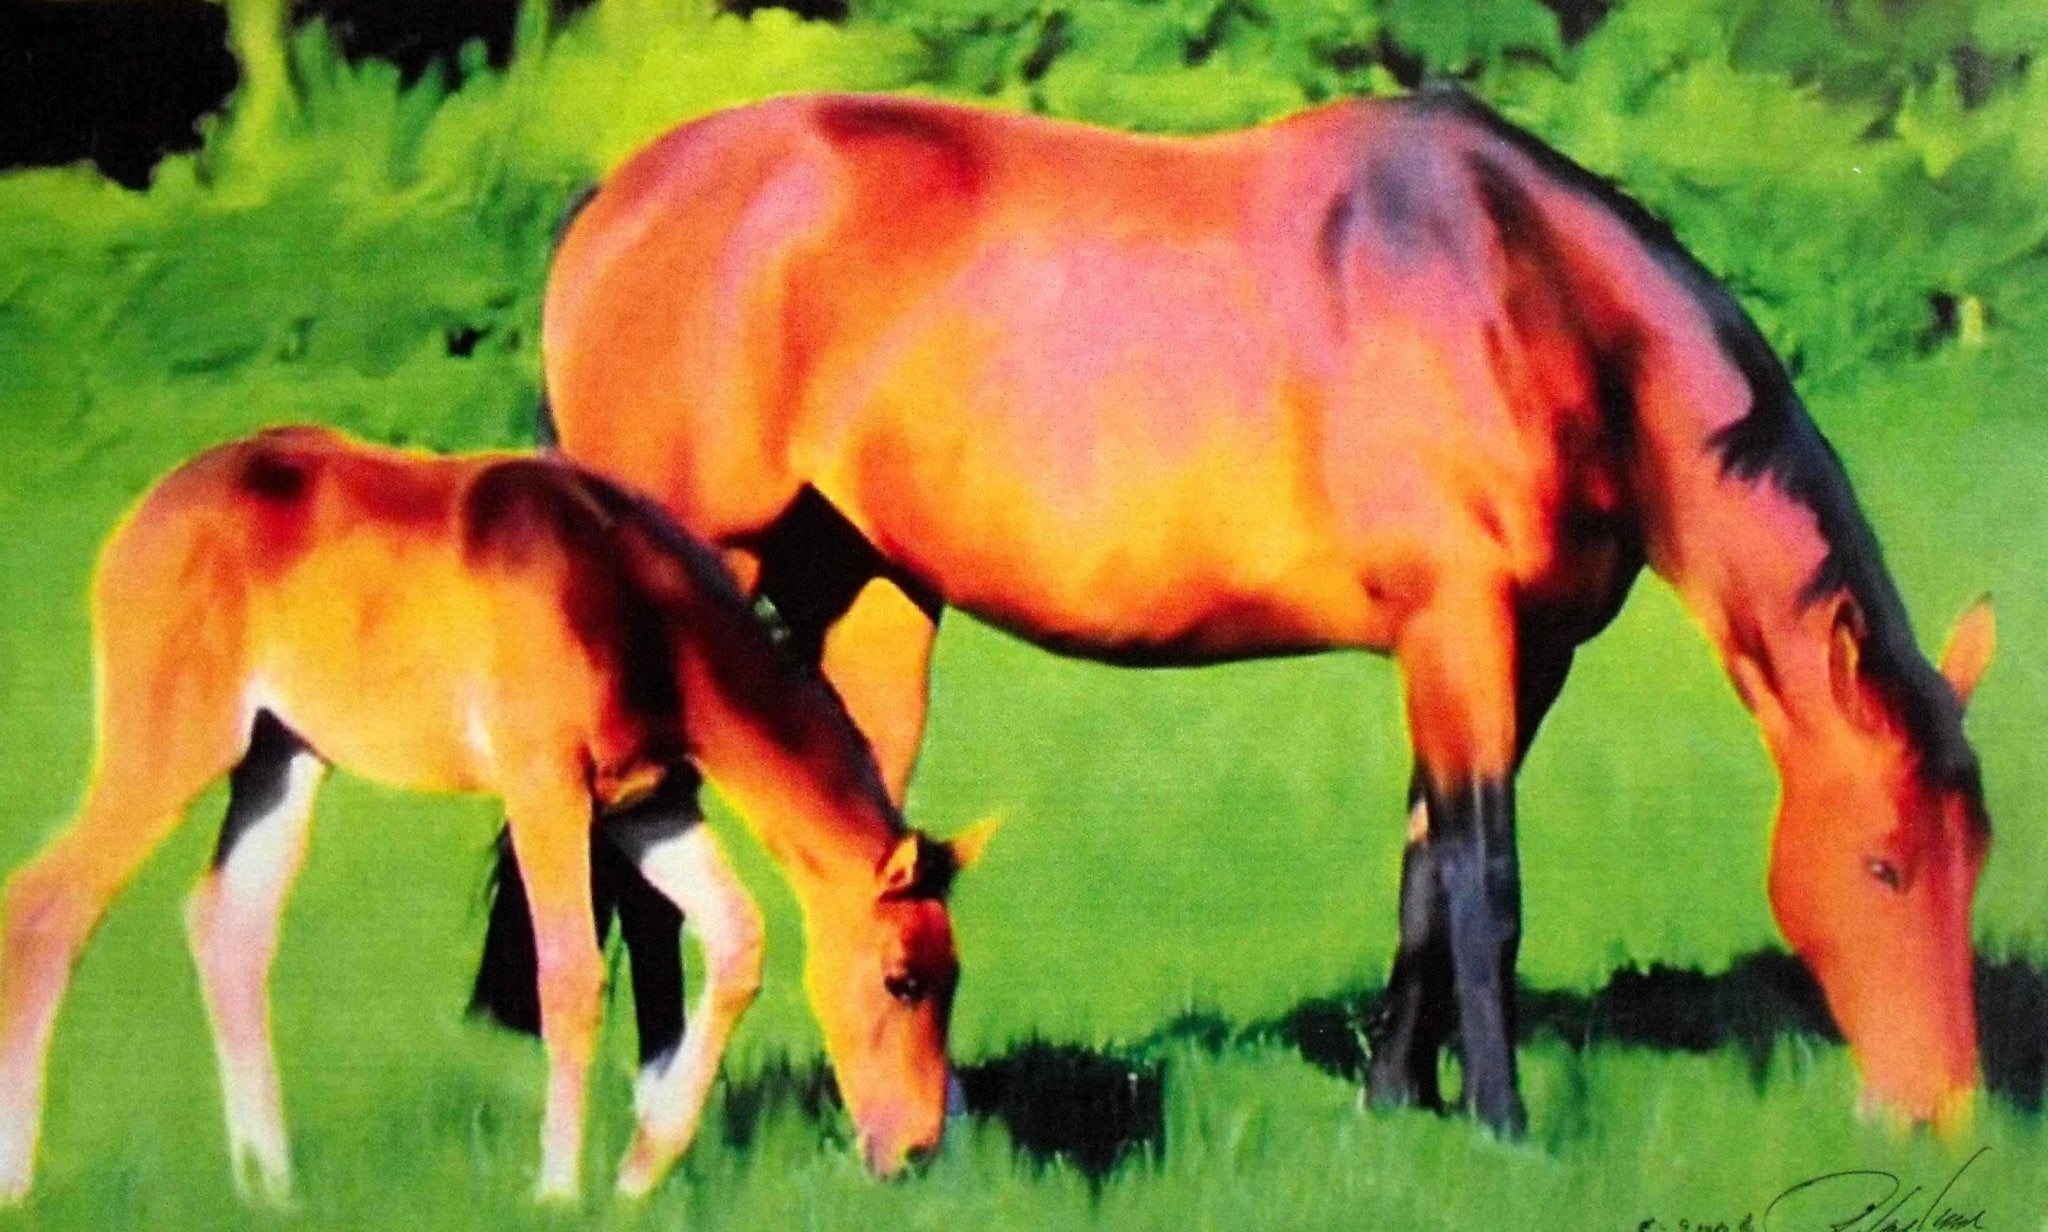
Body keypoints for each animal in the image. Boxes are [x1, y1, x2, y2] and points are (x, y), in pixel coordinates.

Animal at [0, 426, 990, 1204]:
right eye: (903, 981)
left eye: (952, 978)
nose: (916, 1149)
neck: (627, 602)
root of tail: (143, 520)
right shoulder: (544, 787)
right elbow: (572, 974)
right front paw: (558, 1188)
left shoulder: (648, 804)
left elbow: (736, 939)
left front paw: (642, 1169)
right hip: (173, 743)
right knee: (47, 908)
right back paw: (23, 1178)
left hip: (282, 757)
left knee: (229, 926)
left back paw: (271, 1187)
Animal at [521, 86, 1998, 1134]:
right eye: (1883, 863)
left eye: (1975, 854)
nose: (1942, 1116)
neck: (1521, 290)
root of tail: (612, 206)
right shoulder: (1463, 631)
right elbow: (1486, 885)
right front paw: (1507, 1126)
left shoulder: (1510, 656)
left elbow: (1422, 874)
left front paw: (1396, 1101)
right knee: (631, 860)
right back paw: (661, 1105)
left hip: (861, 593)